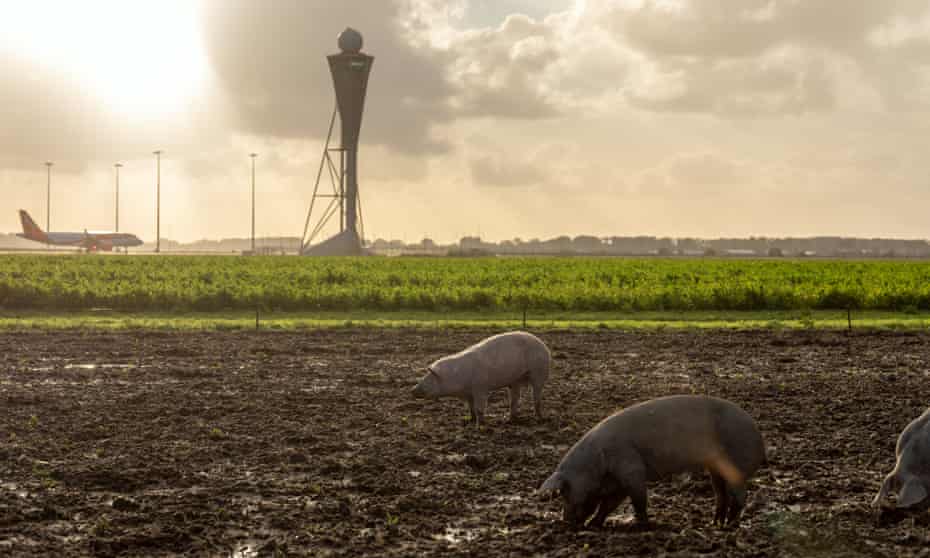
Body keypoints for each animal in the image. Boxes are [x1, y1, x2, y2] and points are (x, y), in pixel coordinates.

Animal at [410, 332, 548, 428]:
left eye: (429, 379)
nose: (412, 390)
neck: (456, 377)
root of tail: (544, 346)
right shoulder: (468, 393)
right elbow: (471, 408)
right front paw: (469, 420)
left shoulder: (480, 388)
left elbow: (479, 409)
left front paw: (479, 426)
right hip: (515, 380)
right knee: (514, 399)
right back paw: (509, 420)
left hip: (539, 372)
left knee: (536, 397)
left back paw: (539, 418)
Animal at [536, 396, 760, 532]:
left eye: (565, 491)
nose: (566, 523)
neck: (597, 464)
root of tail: (758, 434)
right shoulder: (618, 482)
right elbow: (608, 505)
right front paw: (594, 525)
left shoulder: (630, 468)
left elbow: (638, 499)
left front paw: (644, 525)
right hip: (716, 468)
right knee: (721, 493)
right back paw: (715, 523)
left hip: (736, 464)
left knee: (740, 495)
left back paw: (730, 526)